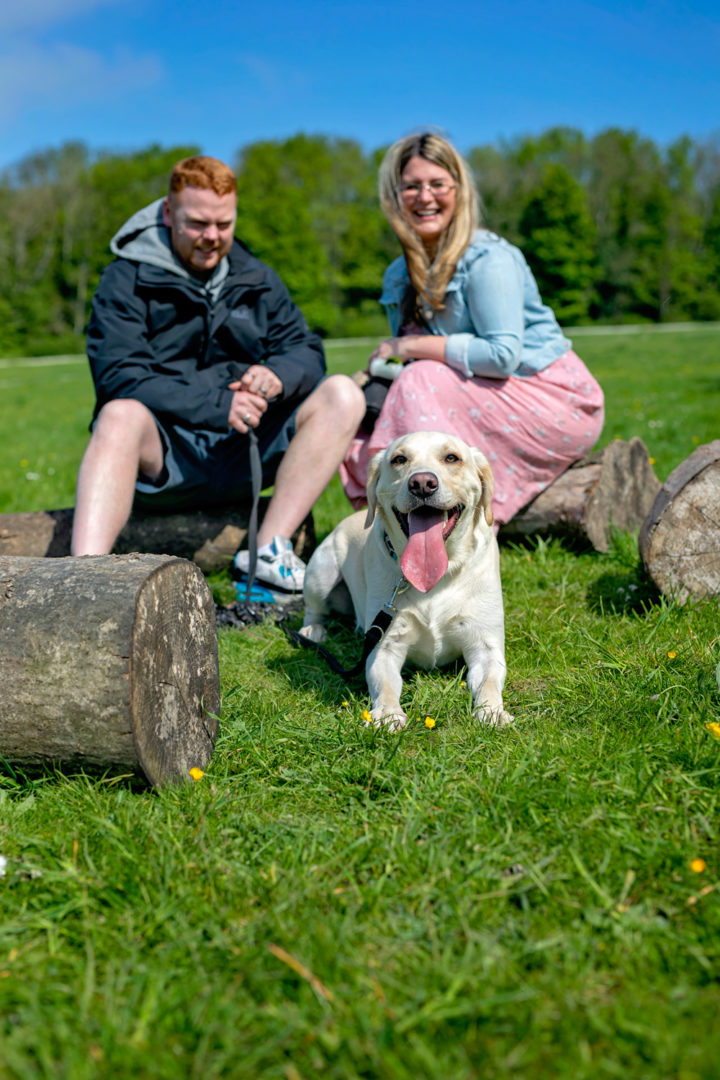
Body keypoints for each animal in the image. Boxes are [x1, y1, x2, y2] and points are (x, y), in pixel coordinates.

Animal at [297, 434, 511, 730]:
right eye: (399, 459)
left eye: (452, 458)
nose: (422, 483)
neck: (440, 573)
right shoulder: (385, 645)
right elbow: (385, 684)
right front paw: (387, 713)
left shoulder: (485, 644)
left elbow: (490, 681)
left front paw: (492, 711)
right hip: (321, 570)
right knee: (314, 608)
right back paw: (313, 630)